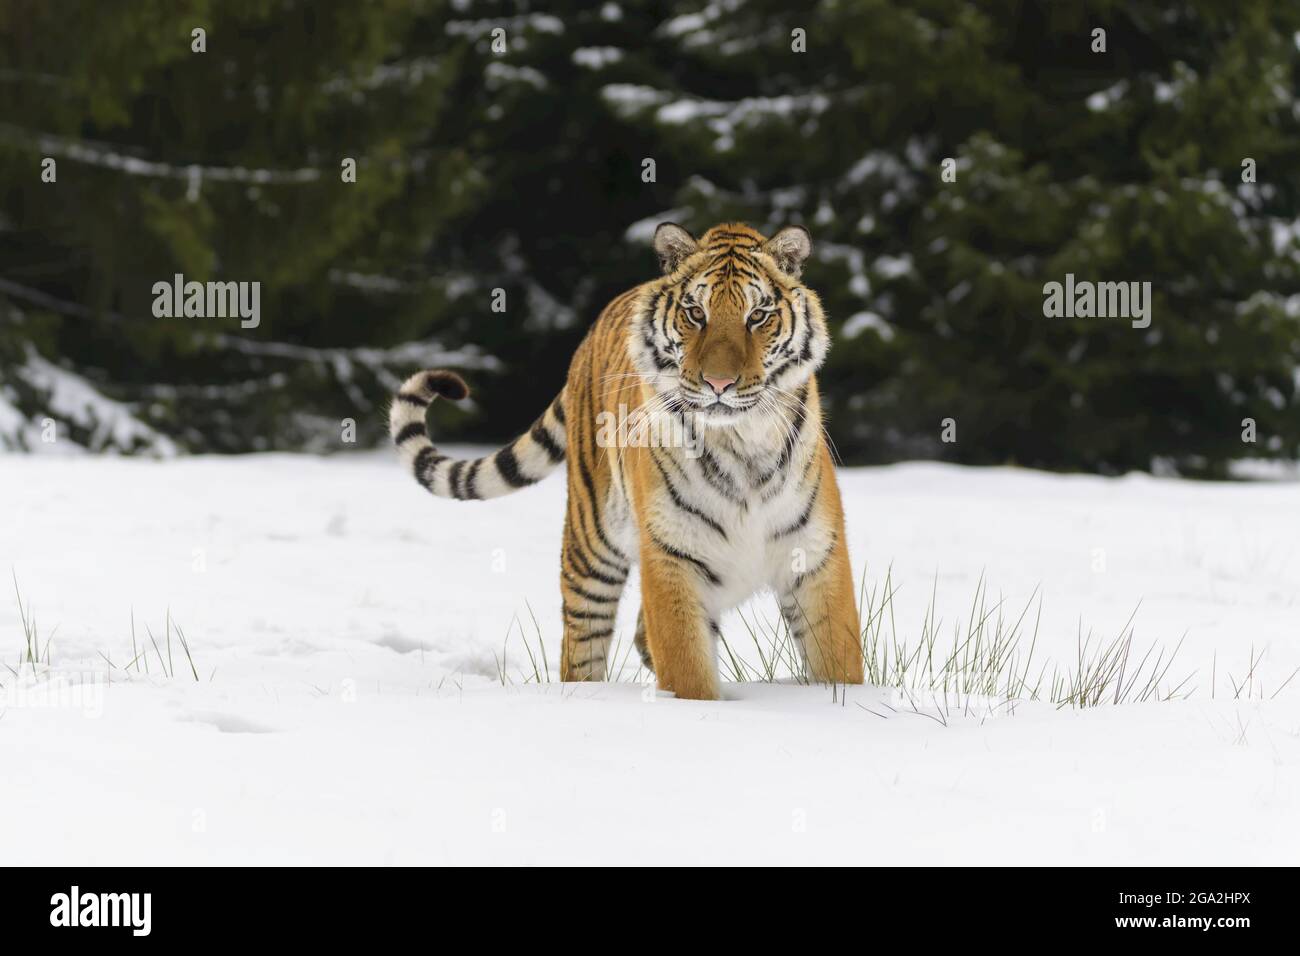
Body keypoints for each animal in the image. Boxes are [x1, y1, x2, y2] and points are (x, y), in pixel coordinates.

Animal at [390, 223, 868, 702]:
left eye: (758, 316)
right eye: (696, 313)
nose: (719, 384)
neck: (741, 444)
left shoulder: (816, 556)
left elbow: (838, 662)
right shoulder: (672, 557)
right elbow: (689, 670)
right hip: (591, 546)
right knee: (580, 647)